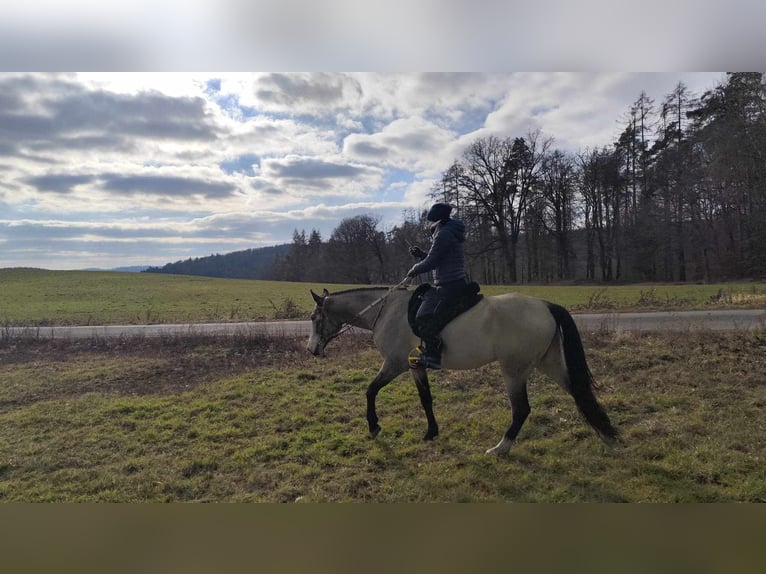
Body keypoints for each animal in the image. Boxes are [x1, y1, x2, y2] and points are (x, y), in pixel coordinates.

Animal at [306, 286, 616, 456]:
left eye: (313, 317)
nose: (312, 350)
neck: (385, 310)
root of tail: (545, 305)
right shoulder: (415, 366)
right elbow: (426, 399)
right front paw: (431, 432)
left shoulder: (394, 364)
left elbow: (370, 390)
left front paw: (373, 426)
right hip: (547, 362)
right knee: (579, 393)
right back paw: (607, 435)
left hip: (514, 370)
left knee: (521, 409)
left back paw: (500, 448)